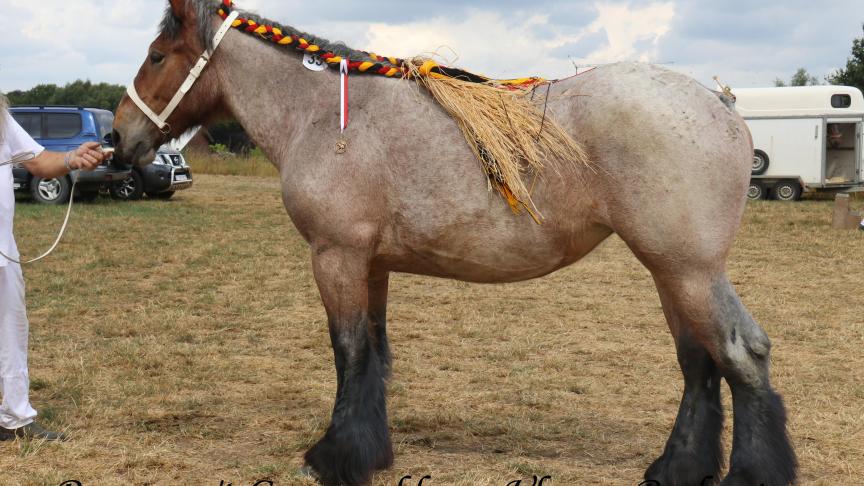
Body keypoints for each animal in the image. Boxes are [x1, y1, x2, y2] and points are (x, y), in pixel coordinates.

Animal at [113, 1, 796, 484]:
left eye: (156, 55)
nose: (120, 138)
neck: (327, 114)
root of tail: (723, 108)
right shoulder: (372, 265)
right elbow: (374, 355)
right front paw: (370, 450)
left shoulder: (335, 256)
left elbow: (348, 353)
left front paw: (333, 458)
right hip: (670, 271)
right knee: (700, 362)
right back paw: (678, 468)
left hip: (688, 269)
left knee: (741, 351)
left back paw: (749, 474)